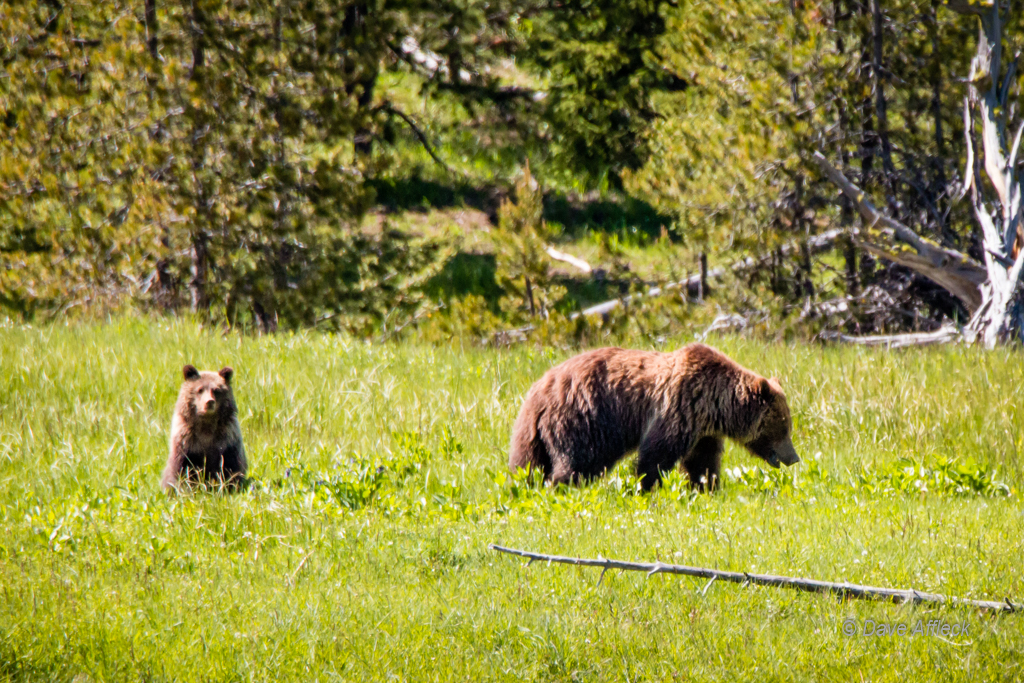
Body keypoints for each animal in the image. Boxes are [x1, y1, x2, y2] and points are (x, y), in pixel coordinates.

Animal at [509, 344, 798, 489]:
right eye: (783, 426)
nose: (794, 457)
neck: (714, 405)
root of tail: (537, 392)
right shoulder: (678, 408)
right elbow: (656, 455)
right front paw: (646, 486)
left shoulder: (703, 431)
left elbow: (702, 462)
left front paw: (706, 487)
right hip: (582, 418)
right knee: (577, 462)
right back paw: (562, 488)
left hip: (532, 434)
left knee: (527, 464)